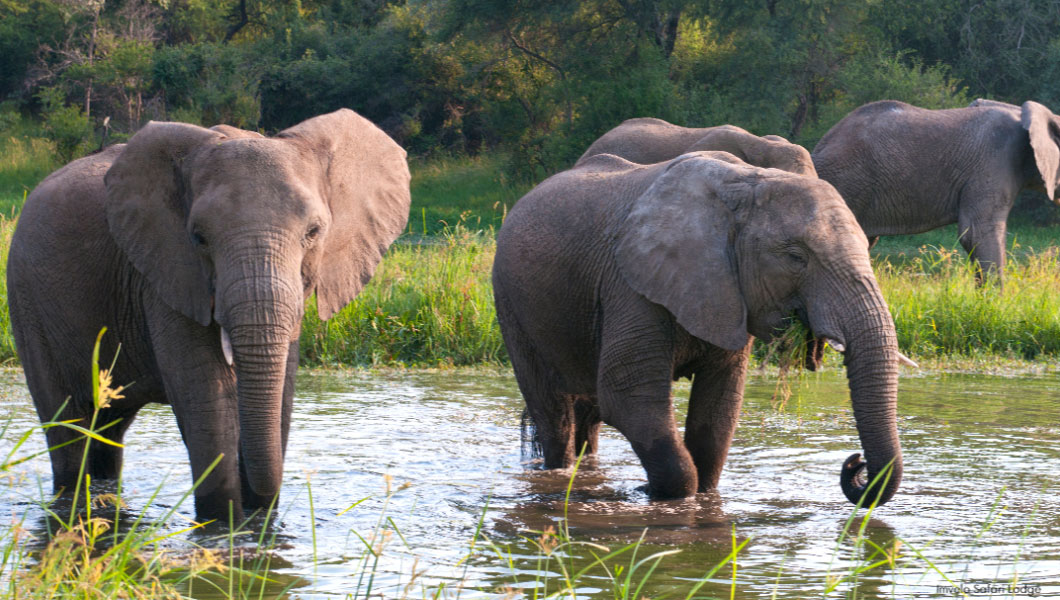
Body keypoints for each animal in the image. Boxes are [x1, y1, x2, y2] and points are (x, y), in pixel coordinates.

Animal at [8, 108, 413, 521]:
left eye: (314, 232)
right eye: (198, 237)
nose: (259, 502)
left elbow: (281, 390)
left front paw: (258, 521)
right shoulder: (165, 272)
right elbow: (207, 395)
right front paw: (226, 522)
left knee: (107, 429)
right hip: (27, 300)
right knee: (68, 429)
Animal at [491, 150, 907, 508]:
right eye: (795, 257)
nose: (855, 464)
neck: (745, 185)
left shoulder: (729, 290)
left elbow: (719, 406)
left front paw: (700, 495)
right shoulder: (630, 285)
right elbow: (629, 396)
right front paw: (652, 495)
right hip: (510, 303)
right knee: (553, 412)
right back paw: (560, 474)